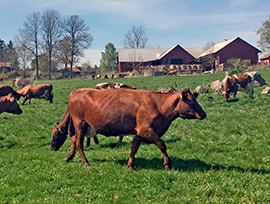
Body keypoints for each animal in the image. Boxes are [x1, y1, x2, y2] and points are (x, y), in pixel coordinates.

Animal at [51, 87, 207, 171]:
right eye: (190, 101)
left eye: (195, 99)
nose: (204, 114)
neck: (159, 105)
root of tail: (76, 91)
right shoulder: (146, 130)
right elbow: (162, 145)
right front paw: (168, 165)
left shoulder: (139, 133)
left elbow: (134, 149)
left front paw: (130, 165)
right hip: (80, 124)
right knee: (79, 143)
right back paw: (85, 162)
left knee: (75, 141)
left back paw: (70, 157)